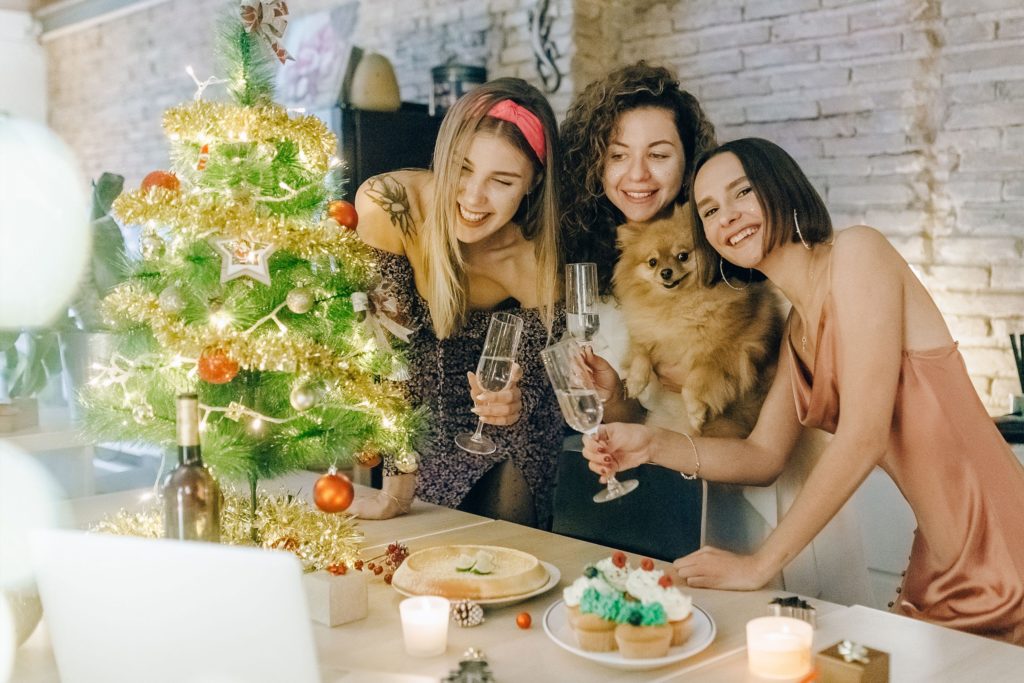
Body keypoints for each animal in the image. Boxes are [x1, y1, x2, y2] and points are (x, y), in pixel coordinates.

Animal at [614, 204, 782, 438]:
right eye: (652, 262)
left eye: (682, 256)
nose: (666, 272)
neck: (678, 304)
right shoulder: (648, 332)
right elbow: (640, 353)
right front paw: (635, 381)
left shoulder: (726, 351)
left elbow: (695, 382)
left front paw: (695, 412)